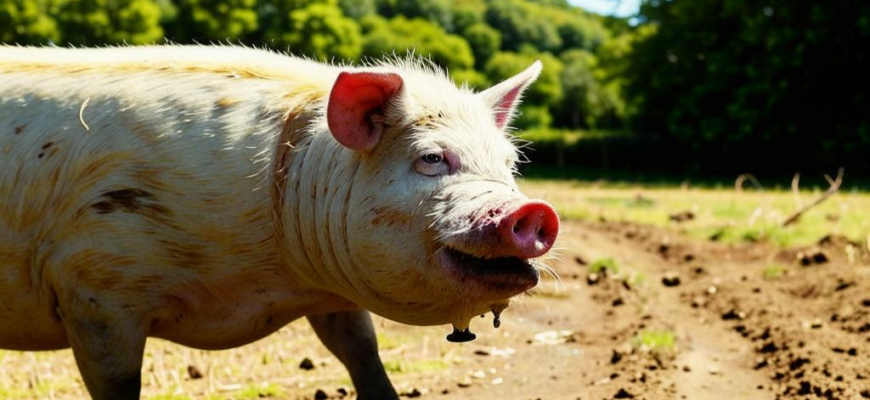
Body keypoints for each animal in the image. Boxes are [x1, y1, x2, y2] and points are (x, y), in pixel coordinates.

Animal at [0, 45, 559, 399]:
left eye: (510, 165)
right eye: (432, 158)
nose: (536, 211)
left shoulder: (334, 299)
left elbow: (362, 353)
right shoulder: (95, 287)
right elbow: (118, 383)